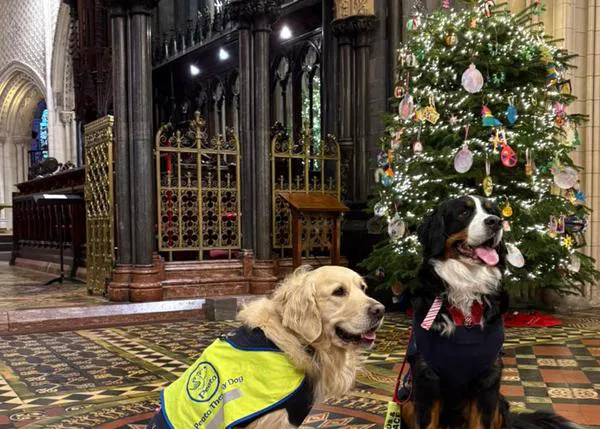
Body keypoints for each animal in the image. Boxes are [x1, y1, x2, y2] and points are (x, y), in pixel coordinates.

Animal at [400, 196, 584, 428]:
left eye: (493, 212)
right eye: (463, 212)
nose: (495, 222)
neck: (466, 291)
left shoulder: (488, 378)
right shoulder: (426, 378)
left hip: (499, 403)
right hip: (406, 401)